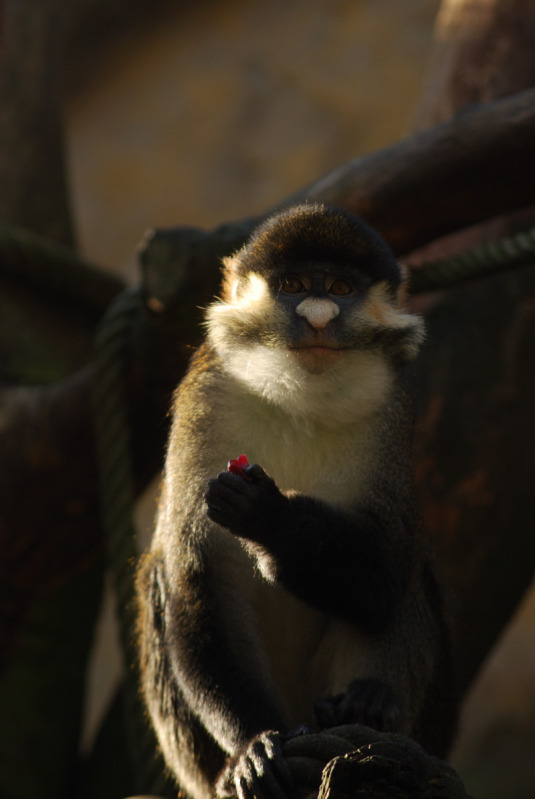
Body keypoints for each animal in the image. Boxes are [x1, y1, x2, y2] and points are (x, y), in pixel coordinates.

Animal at [136, 203, 457, 799]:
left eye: (339, 288)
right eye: (293, 286)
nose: (318, 317)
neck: (299, 399)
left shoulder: (391, 414)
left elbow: (384, 576)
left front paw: (270, 518)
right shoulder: (204, 403)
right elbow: (197, 579)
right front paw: (253, 747)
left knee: (408, 579)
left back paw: (367, 707)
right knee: (157, 578)